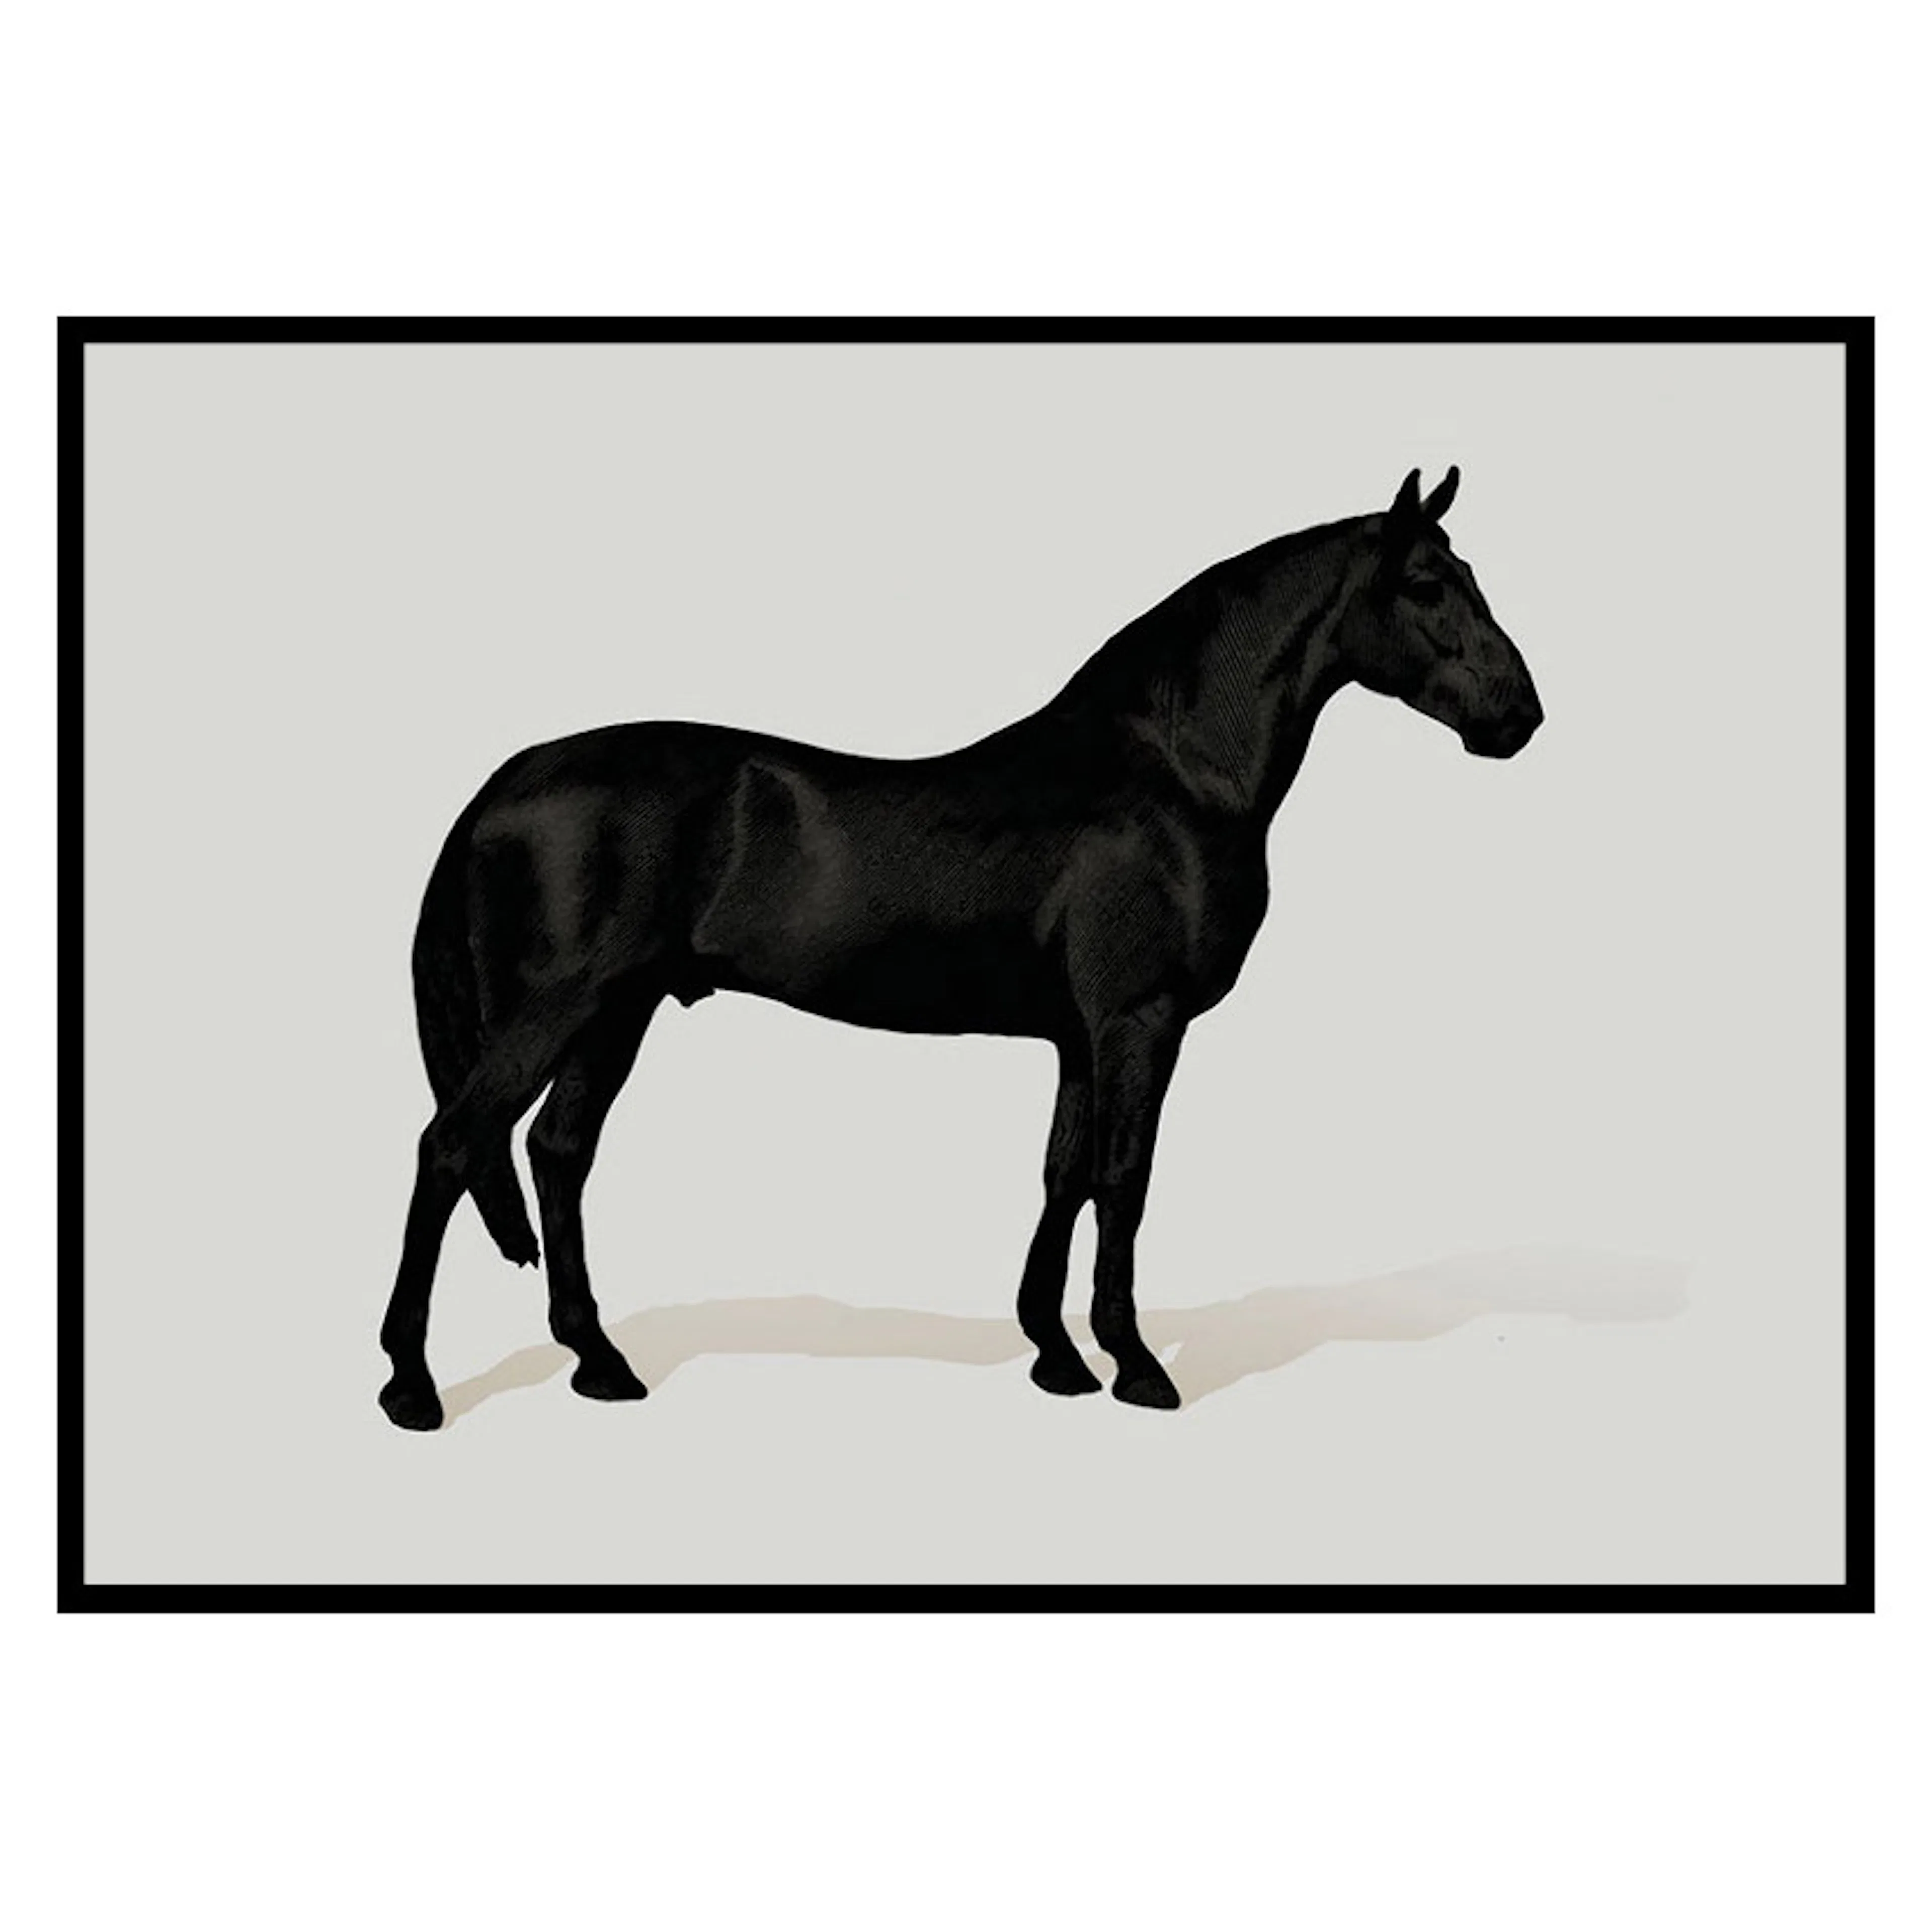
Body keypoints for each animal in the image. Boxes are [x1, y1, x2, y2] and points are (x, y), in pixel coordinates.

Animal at [379, 465, 1543, 1430]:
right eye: (1429, 583)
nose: (1519, 715)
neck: (1171, 774)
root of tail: (505, 782)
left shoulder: (1078, 1035)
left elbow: (1063, 1176)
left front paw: (1057, 1358)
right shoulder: (1140, 1021)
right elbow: (1125, 1177)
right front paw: (1136, 1367)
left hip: (615, 1014)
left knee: (556, 1154)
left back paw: (601, 1362)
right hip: (559, 1010)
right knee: (452, 1146)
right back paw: (412, 1386)